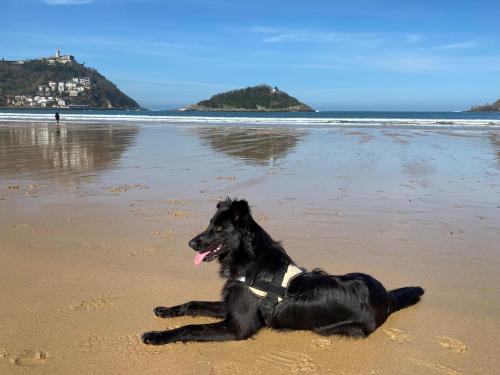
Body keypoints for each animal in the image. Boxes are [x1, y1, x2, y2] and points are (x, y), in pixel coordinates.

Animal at [143, 200, 424, 346]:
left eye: (219, 228)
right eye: (209, 224)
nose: (190, 243)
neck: (248, 262)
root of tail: (386, 296)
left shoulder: (238, 326)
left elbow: (190, 326)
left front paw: (157, 335)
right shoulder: (230, 306)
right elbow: (192, 304)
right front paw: (166, 311)